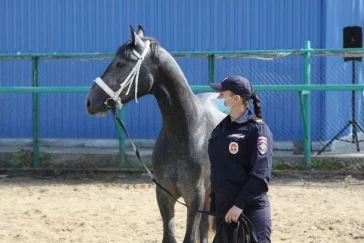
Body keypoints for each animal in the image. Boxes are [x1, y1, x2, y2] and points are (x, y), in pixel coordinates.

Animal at [85, 25, 225, 243]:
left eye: (120, 63)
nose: (90, 101)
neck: (185, 132)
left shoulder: (195, 197)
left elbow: (189, 237)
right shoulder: (164, 195)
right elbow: (169, 237)